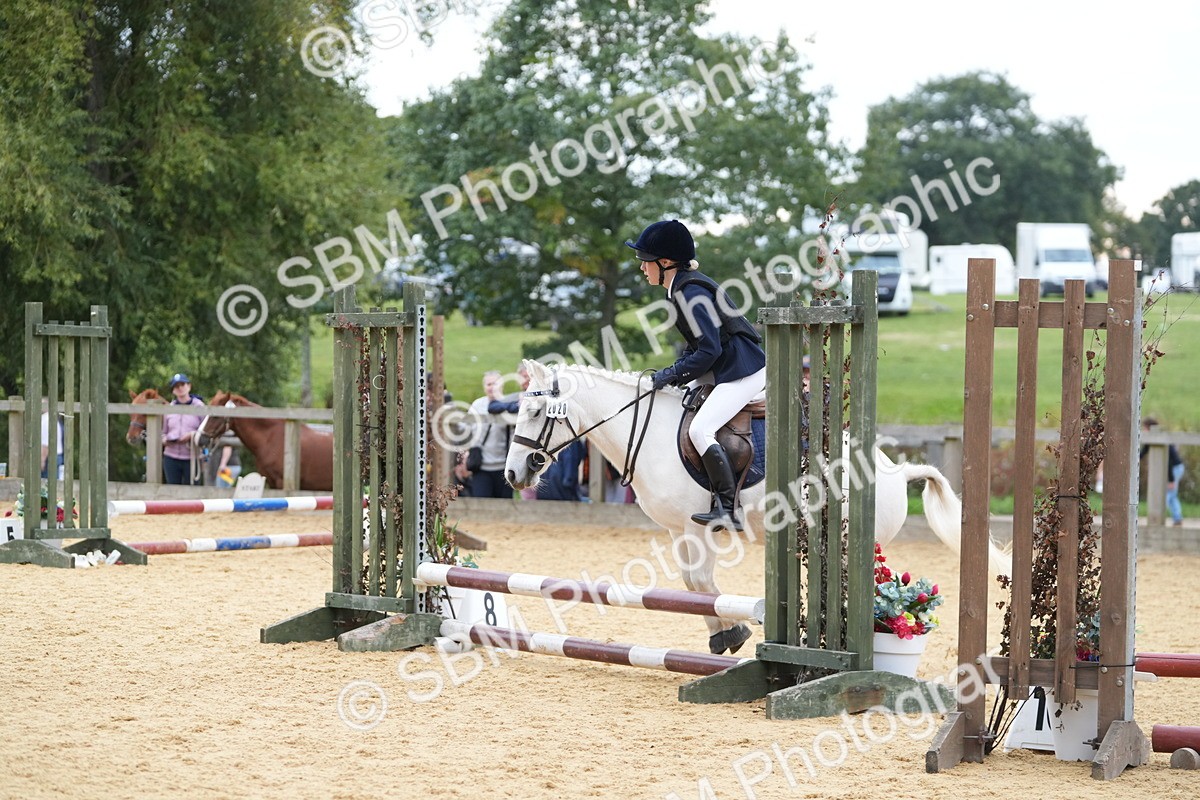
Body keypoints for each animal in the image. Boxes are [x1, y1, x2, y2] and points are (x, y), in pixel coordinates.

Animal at [504, 360, 1010, 656]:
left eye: (535, 414)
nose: (513, 475)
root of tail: (893, 471)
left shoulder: (699, 527)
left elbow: (702, 583)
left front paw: (734, 632)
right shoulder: (677, 530)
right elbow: (692, 585)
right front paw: (722, 632)